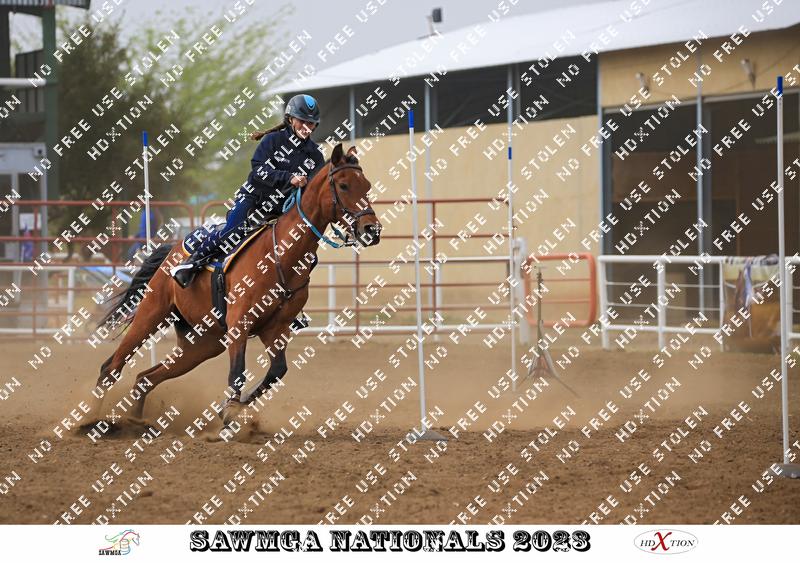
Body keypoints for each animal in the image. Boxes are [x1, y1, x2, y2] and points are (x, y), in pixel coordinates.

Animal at [85, 143, 381, 430]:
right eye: (343, 185)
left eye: (366, 185)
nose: (372, 230)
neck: (279, 255)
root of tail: (173, 249)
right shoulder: (239, 323)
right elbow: (238, 370)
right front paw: (229, 412)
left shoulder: (276, 328)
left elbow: (276, 371)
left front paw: (234, 408)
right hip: (152, 314)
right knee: (110, 368)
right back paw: (92, 422)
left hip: (201, 344)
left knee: (145, 377)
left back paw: (136, 421)